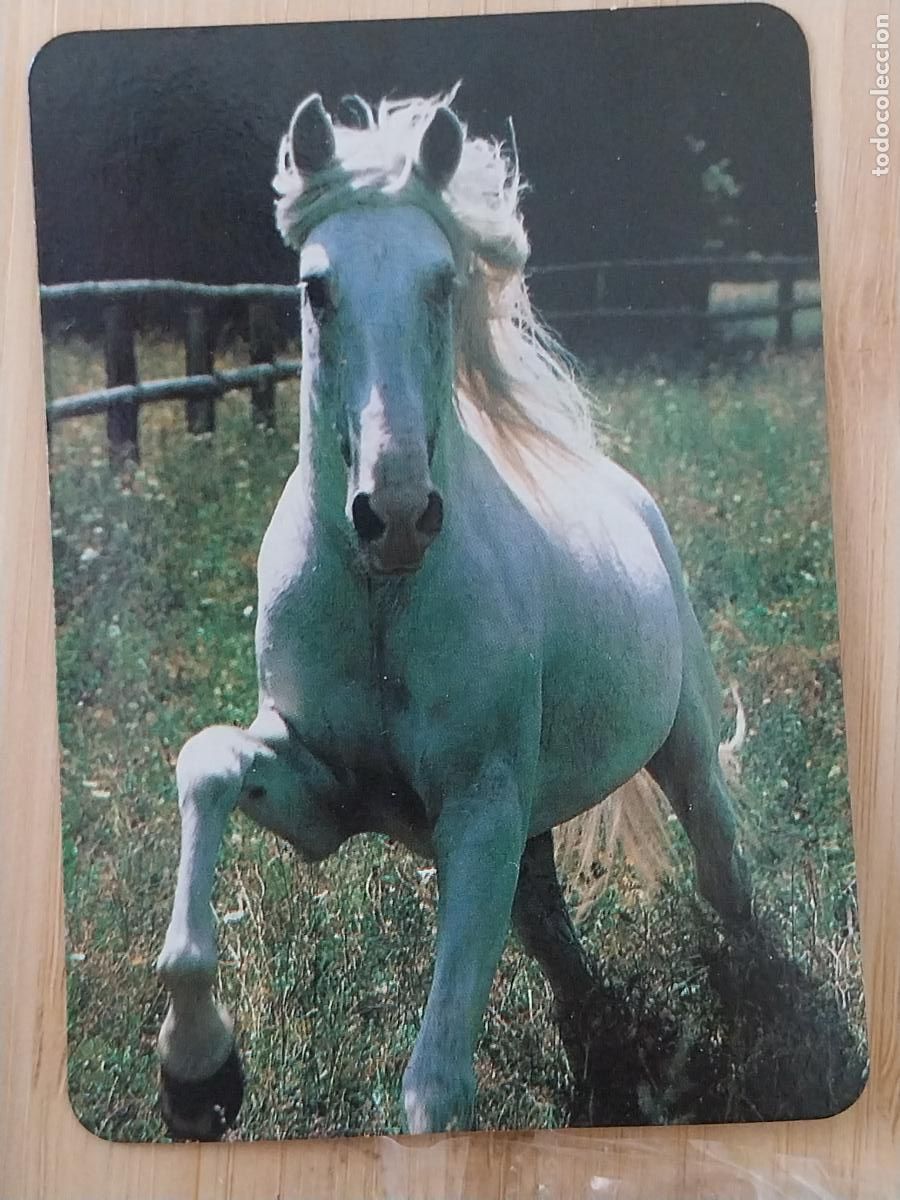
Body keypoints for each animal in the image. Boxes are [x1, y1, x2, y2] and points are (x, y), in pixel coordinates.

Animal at [155, 89, 752, 1140]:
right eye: (315, 288)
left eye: (441, 281)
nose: (394, 515)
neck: (383, 598)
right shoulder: (328, 798)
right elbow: (209, 764)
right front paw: (198, 1072)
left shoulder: (478, 811)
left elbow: (437, 1090)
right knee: (547, 921)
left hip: (678, 746)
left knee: (722, 868)